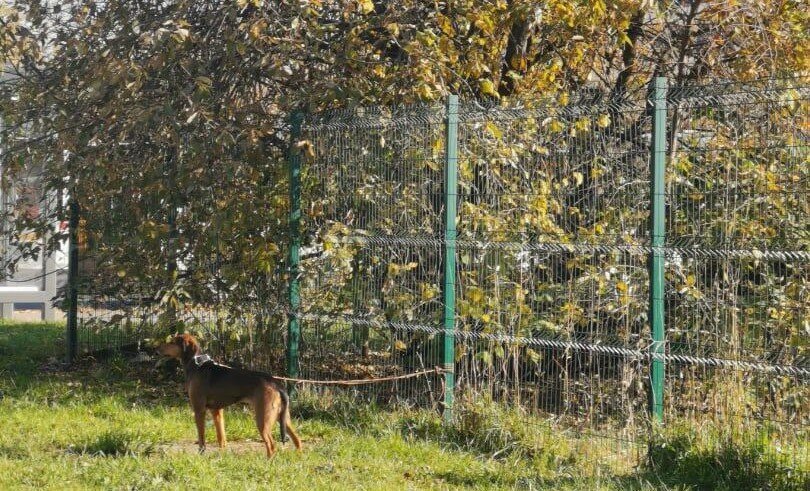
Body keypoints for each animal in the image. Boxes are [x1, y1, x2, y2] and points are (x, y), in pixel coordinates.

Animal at [155, 334, 300, 458]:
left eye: (172, 342)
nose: (156, 350)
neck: (197, 364)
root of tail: (275, 383)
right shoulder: (217, 411)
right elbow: (221, 438)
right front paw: (222, 456)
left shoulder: (199, 410)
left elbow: (201, 438)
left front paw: (201, 454)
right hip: (282, 417)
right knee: (297, 440)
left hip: (263, 419)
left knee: (271, 445)